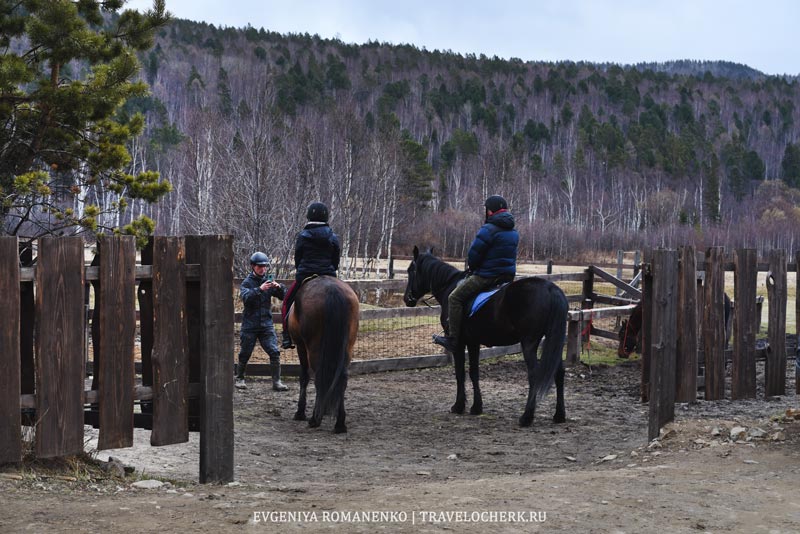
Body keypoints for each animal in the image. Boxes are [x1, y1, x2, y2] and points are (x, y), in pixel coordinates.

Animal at [288, 278, 360, 434]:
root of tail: (333, 291)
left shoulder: (301, 347)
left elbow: (304, 377)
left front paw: (300, 412)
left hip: (314, 348)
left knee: (318, 378)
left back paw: (315, 419)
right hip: (347, 347)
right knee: (341, 379)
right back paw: (340, 423)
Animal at [406, 249, 568, 430]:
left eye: (410, 271)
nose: (407, 299)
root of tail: (550, 288)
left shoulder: (459, 343)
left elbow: (460, 373)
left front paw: (458, 406)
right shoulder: (474, 342)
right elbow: (474, 373)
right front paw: (476, 407)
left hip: (529, 343)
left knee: (534, 374)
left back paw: (526, 417)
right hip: (552, 340)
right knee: (559, 372)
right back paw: (559, 415)